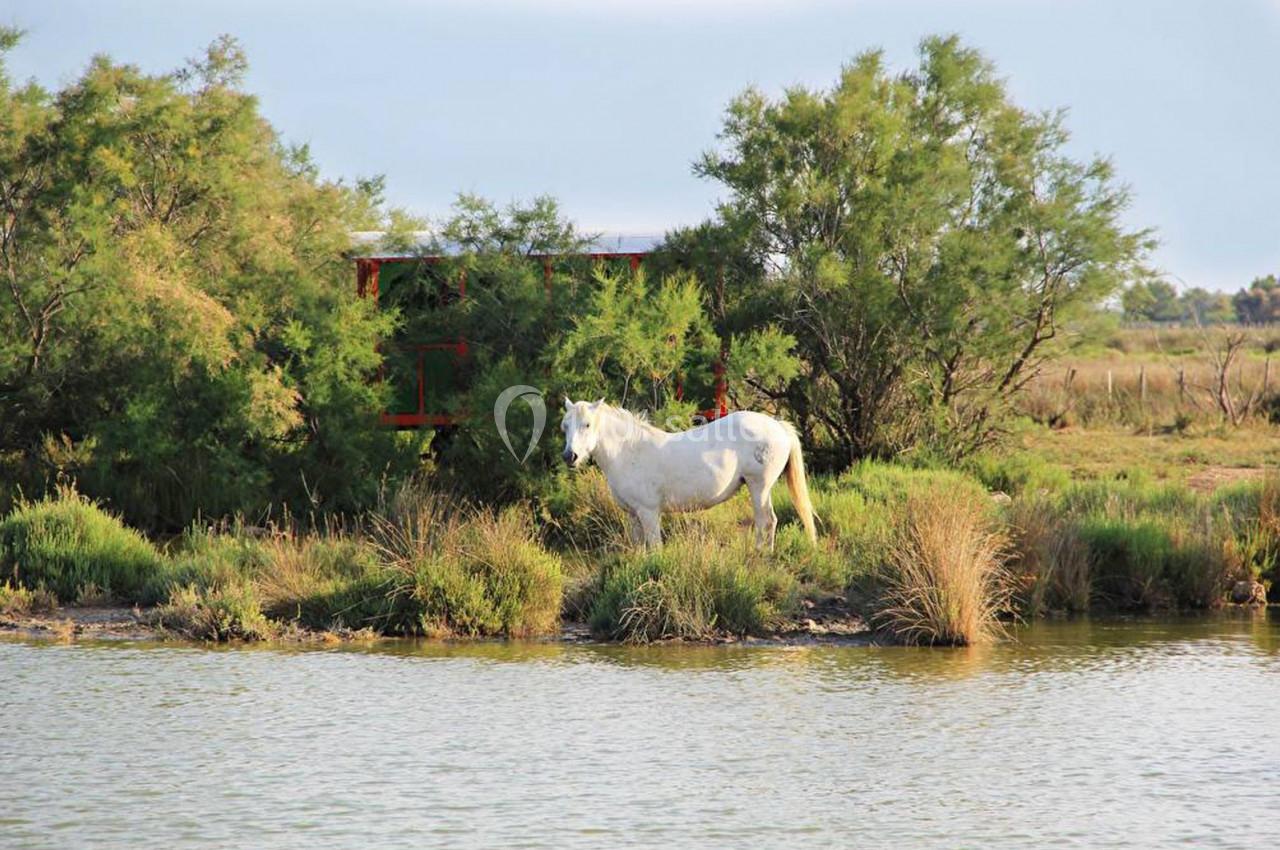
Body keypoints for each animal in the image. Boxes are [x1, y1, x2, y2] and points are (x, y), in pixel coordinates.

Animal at [559, 399, 817, 550]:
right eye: (565, 426)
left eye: (587, 424)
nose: (570, 456)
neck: (629, 450)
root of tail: (778, 425)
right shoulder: (632, 515)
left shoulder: (649, 513)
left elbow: (655, 548)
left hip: (759, 487)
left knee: (767, 522)